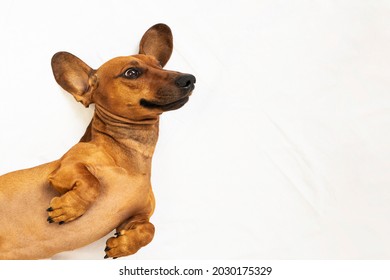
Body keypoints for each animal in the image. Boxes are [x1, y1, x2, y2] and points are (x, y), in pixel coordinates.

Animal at [0, 23, 195, 260]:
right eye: (132, 72)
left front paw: (123, 245)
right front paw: (68, 208)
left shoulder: (138, 216)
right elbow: (92, 182)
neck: (132, 157)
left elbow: (150, 230)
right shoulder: (65, 167)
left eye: (160, 66)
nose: (189, 79)